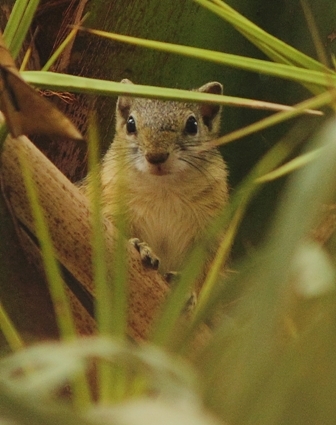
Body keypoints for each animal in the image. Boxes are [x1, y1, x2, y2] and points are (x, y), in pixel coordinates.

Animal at [80, 78, 228, 286]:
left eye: (192, 124)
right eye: (130, 124)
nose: (156, 156)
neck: (163, 188)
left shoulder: (211, 231)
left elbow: (204, 272)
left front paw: (187, 289)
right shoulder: (108, 200)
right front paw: (139, 246)